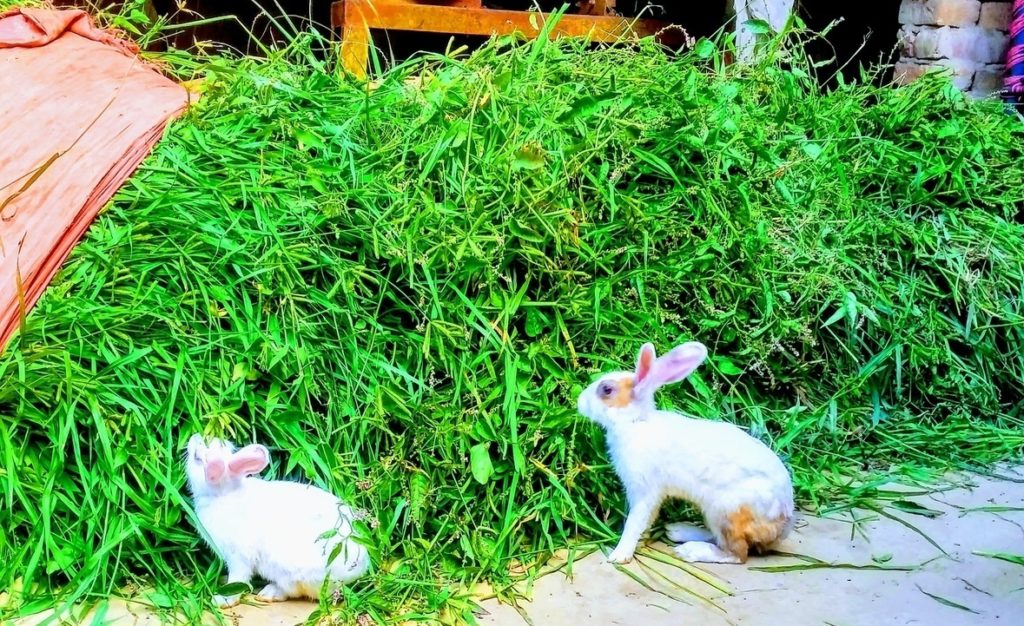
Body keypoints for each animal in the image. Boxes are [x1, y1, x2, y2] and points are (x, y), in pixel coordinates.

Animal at [186, 436, 370, 606]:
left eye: (197, 457)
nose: (194, 437)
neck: (224, 494)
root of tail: (358, 570)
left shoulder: (239, 557)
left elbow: (238, 579)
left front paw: (222, 600)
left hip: (291, 575)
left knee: (293, 591)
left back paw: (269, 593)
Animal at [577, 340, 790, 565]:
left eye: (606, 389)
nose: (579, 402)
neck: (635, 422)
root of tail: (782, 525)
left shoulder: (644, 490)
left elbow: (634, 522)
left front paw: (619, 555)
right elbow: (647, 519)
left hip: (726, 512)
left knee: (737, 553)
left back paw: (689, 551)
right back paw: (678, 531)